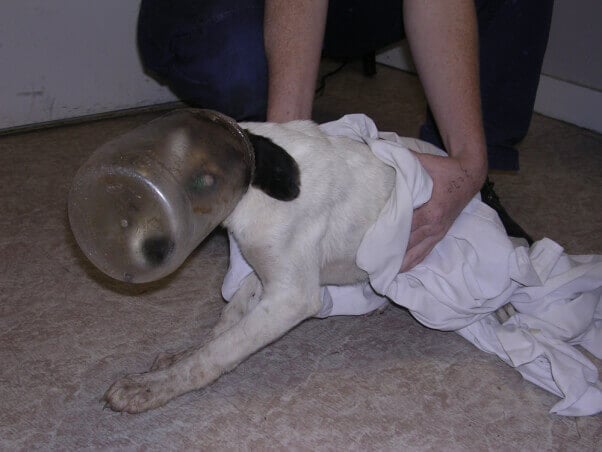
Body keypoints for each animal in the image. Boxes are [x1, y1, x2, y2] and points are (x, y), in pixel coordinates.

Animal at [101, 119, 396, 414]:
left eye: (202, 181)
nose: (149, 252)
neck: (255, 190)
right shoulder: (261, 272)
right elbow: (225, 322)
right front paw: (180, 356)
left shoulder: (291, 298)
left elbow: (218, 350)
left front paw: (154, 385)